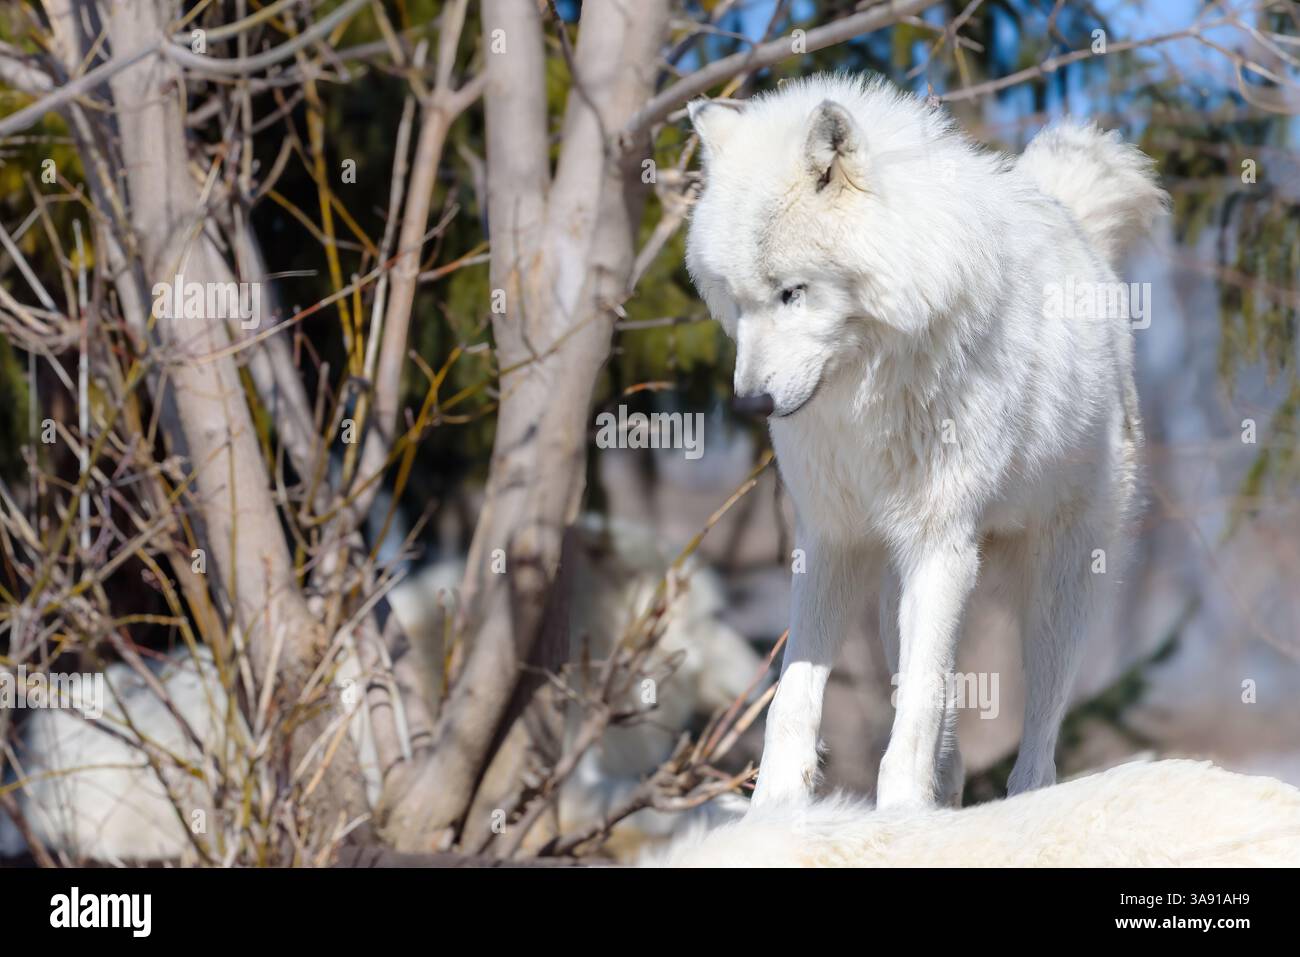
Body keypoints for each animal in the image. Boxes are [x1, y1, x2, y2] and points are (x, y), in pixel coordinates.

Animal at [685, 74, 1166, 810]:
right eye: (737, 301)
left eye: (792, 292)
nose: (750, 403)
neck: (866, 391)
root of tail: (1069, 217)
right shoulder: (830, 536)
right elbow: (793, 700)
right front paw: (776, 810)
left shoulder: (941, 542)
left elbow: (914, 715)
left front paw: (900, 813)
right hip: (896, 599)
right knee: (951, 739)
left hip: (1057, 587)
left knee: (1037, 742)